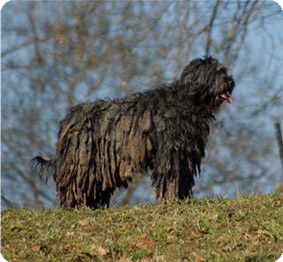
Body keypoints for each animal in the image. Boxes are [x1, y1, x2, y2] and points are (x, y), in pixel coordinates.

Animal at [32, 56, 235, 208]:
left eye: (224, 71)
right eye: (216, 73)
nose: (230, 81)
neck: (187, 102)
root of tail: (68, 119)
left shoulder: (185, 154)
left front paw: (181, 198)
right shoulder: (171, 152)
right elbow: (171, 176)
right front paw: (171, 199)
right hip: (82, 162)